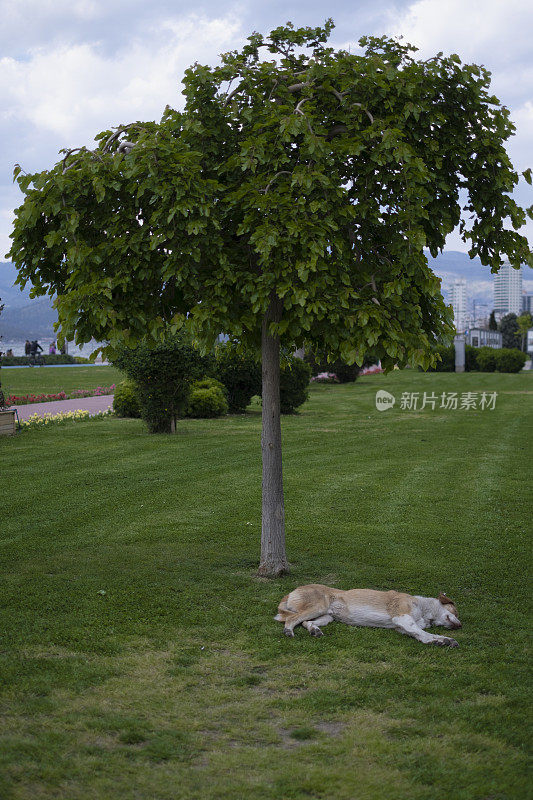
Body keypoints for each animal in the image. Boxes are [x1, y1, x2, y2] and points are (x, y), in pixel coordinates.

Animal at [274, 584, 462, 648]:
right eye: (455, 611)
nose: (460, 626)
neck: (424, 609)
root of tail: (292, 591)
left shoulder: (403, 627)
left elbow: (422, 634)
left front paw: (441, 640)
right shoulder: (402, 617)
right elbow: (424, 633)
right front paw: (439, 639)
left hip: (328, 616)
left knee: (306, 622)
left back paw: (315, 630)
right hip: (319, 607)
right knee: (291, 619)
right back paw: (289, 631)